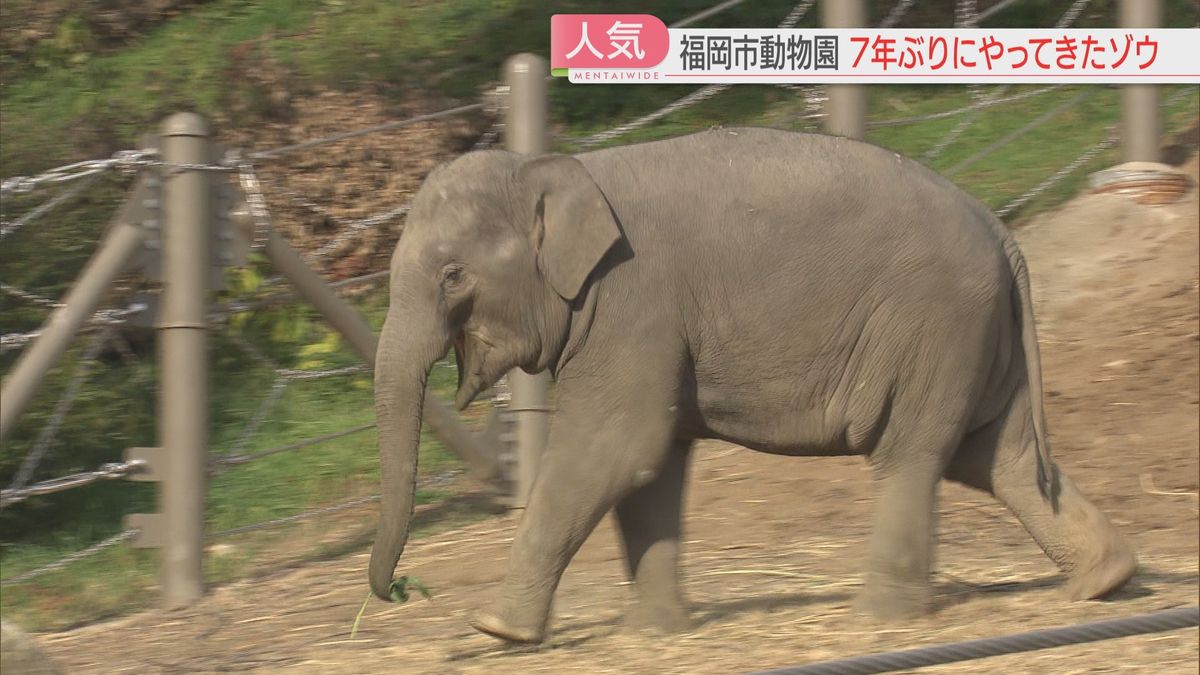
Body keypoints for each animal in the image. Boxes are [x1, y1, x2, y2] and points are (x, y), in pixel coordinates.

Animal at [369, 126, 1137, 638]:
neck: (559, 167)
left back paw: (880, 617)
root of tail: (1000, 230)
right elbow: (650, 467)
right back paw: (1106, 580)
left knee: (912, 456)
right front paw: (654, 633)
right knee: (1000, 459)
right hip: (974, 335)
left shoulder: (633, 303)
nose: (400, 591)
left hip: (933, 326)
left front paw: (494, 627)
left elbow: (614, 448)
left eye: (452, 274)